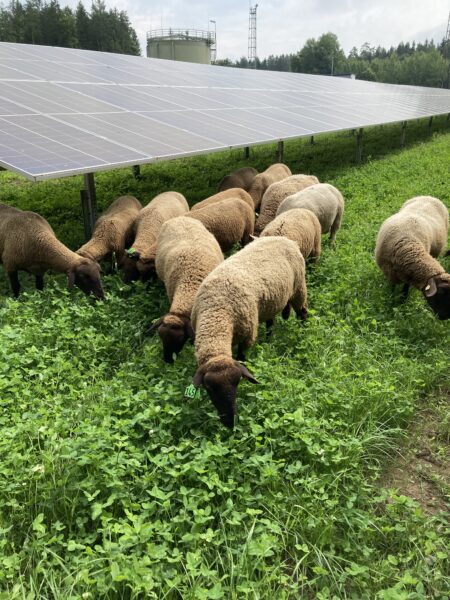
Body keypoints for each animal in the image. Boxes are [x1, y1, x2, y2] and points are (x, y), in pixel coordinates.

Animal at [192, 237, 308, 428]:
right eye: (208, 388)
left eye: (238, 382)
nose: (230, 423)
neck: (218, 311)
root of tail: (285, 239)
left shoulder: (246, 337)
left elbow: (242, 358)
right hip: (271, 303)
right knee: (270, 322)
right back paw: (269, 340)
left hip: (299, 288)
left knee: (303, 313)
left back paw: (304, 335)